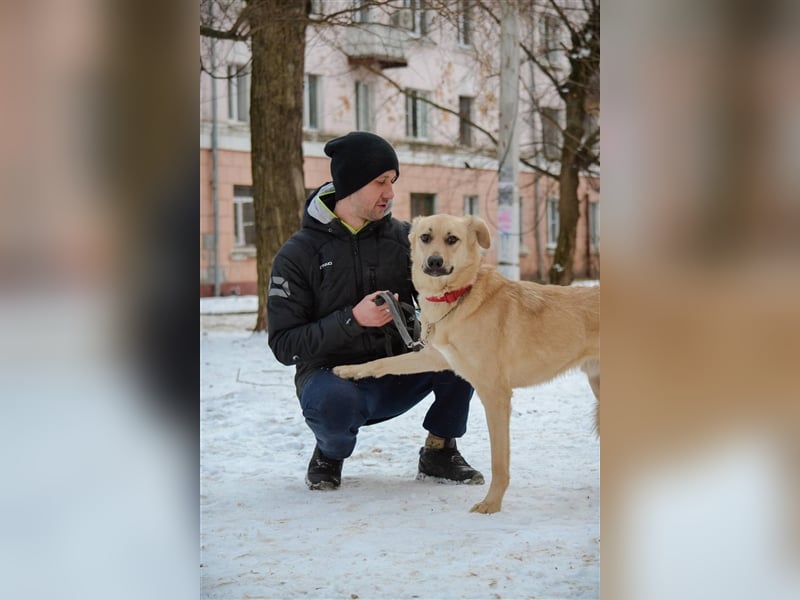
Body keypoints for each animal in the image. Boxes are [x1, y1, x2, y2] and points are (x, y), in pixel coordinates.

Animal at [332, 213, 600, 512]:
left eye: (452, 239)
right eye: (425, 237)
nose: (434, 262)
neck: (457, 297)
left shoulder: (496, 395)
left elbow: (499, 461)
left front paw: (491, 505)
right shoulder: (433, 357)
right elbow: (384, 362)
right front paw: (349, 371)